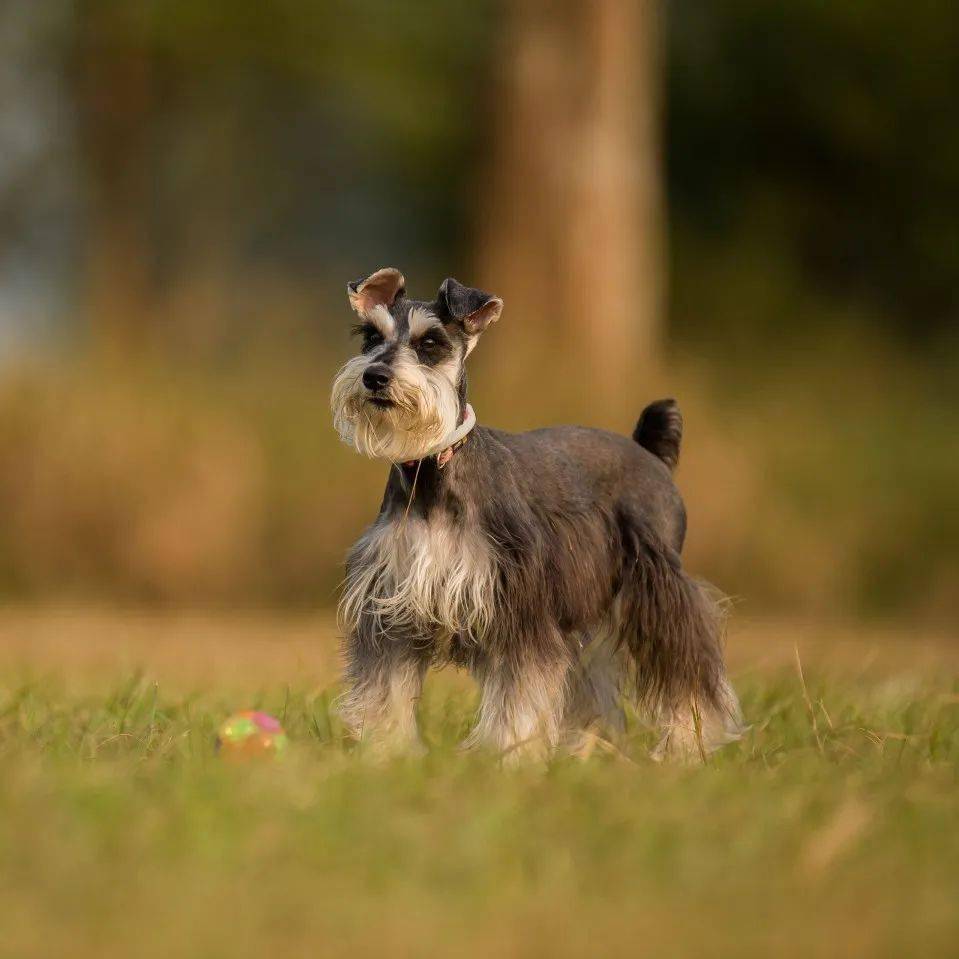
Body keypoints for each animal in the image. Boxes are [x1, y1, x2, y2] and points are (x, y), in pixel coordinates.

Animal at [330, 266, 744, 760]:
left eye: (430, 344)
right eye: (371, 336)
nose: (375, 376)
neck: (433, 473)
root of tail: (648, 453)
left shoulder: (521, 611)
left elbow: (519, 695)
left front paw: (511, 754)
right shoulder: (390, 611)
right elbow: (386, 691)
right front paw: (385, 753)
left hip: (658, 586)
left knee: (688, 671)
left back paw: (687, 745)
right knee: (590, 684)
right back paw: (585, 751)